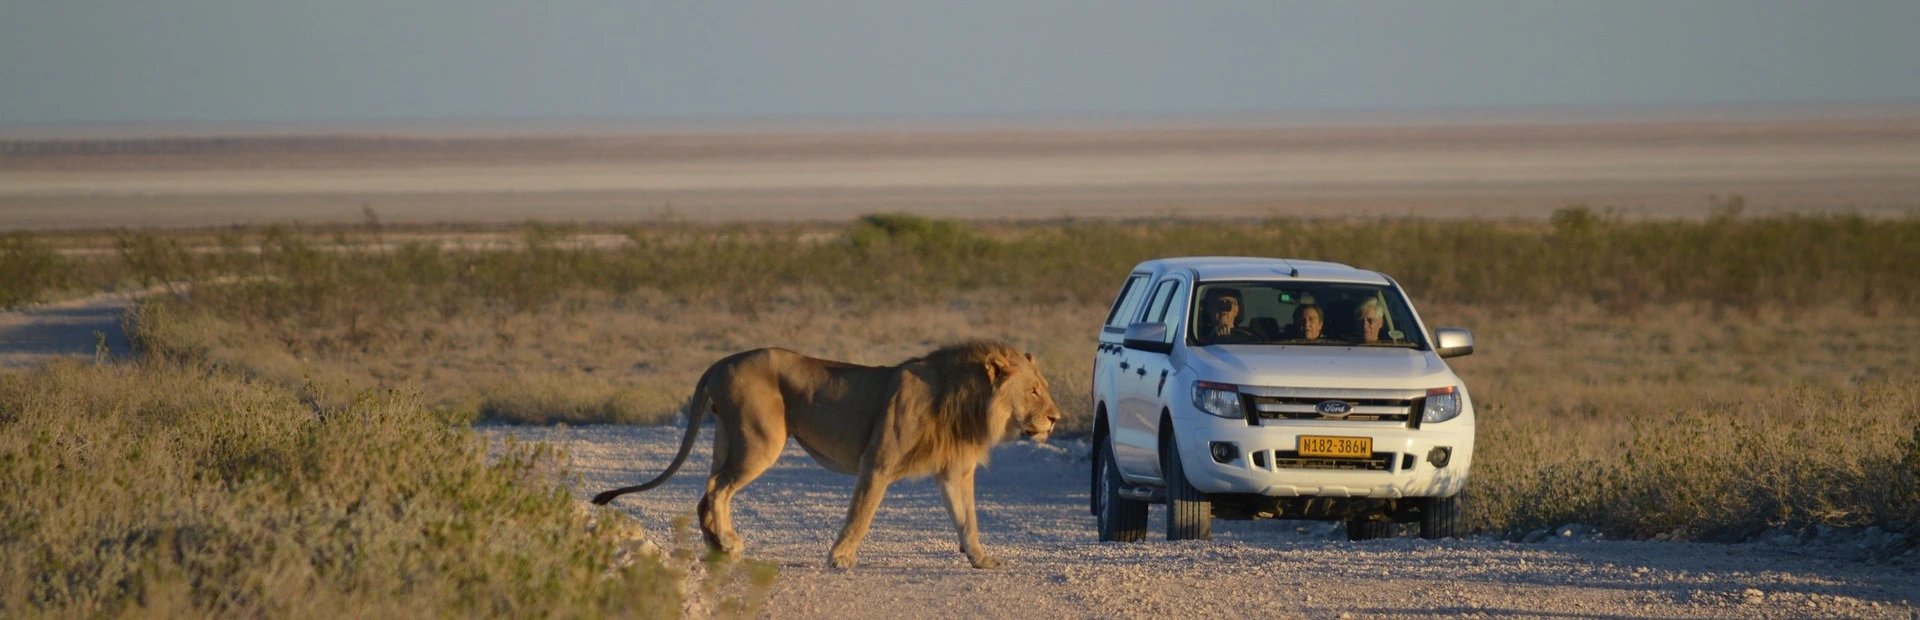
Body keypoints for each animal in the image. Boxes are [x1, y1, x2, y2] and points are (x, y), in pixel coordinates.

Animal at [591, 340, 1061, 569]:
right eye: (1034, 390)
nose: (1056, 418)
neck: (966, 400)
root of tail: (721, 362)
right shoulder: (878, 461)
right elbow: (861, 514)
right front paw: (840, 558)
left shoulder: (955, 472)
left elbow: (968, 520)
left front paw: (982, 560)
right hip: (761, 439)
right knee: (717, 488)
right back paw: (727, 543)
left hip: (728, 437)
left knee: (707, 491)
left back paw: (718, 545)